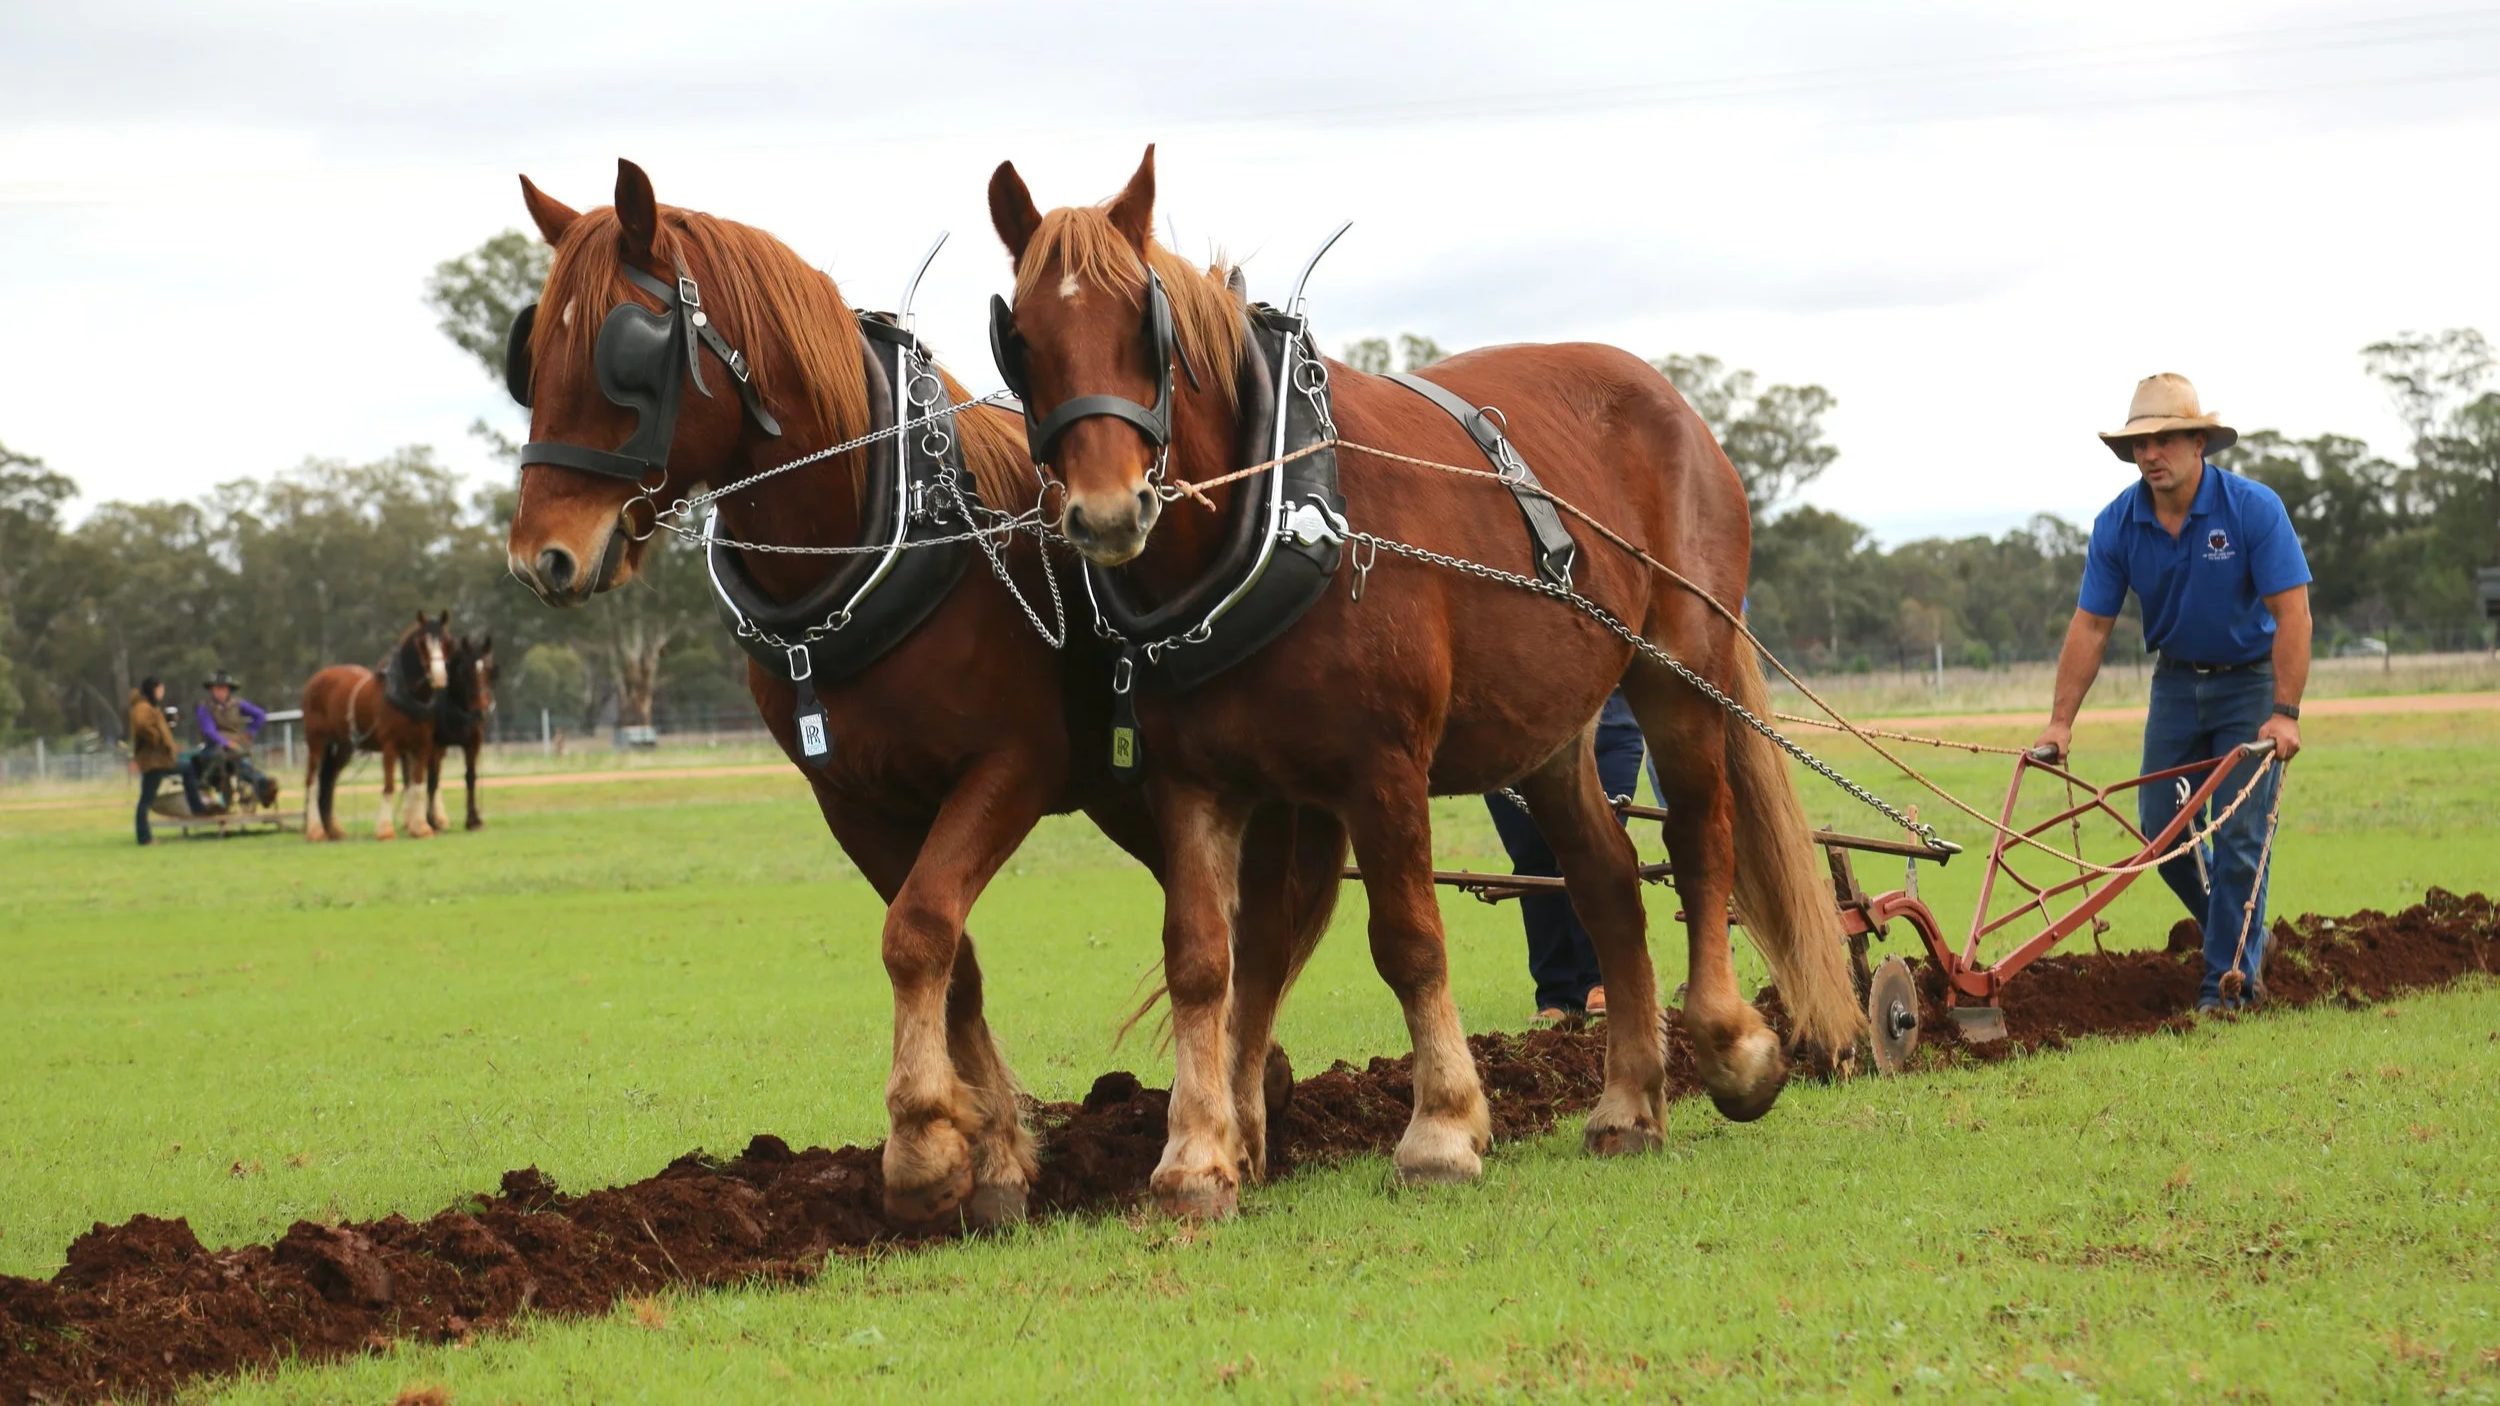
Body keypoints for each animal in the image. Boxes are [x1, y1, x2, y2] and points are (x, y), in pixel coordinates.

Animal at [299, 612, 453, 842]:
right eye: (421, 643)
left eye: (446, 641)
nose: (439, 676)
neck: (405, 696)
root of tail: (315, 680)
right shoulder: (390, 747)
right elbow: (389, 785)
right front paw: (385, 830)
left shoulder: (422, 747)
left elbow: (417, 784)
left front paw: (421, 827)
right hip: (317, 742)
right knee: (312, 781)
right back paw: (316, 831)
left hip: (344, 746)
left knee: (329, 780)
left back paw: (333, 830)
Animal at [423, 633, 496, 832]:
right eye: (466, 671)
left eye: (490, 670)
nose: (481, 711)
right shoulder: (432, 743)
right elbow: (431, 780)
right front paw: (430, 822)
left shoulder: (473, 742)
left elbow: (470, 777)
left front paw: (474, 820)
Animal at [497, 160, 1346, 1225]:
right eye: (533, 356)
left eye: (626, 356)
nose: (542, 557)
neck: (888, 525)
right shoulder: (855, 799)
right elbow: (952, 957)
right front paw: (995, 1158)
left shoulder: (1011, 769)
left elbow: (920, 930)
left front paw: (922, 1148)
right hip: (1134, 798)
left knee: (1264, 928)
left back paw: (1243, 1112)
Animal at [986, 146, 1864, 1218]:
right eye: (1024, 342)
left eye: (1144, 329)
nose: (1109, 513)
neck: (1277, 515)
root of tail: (1672, 403)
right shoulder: (1197, 785)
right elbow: (1200, 959)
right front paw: (1195, 1156)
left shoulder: (1383, 771)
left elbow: (1408, 942)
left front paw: (1442, 1126)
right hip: (1552, 734)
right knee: (1609, 883)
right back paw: (1628, 1105)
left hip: (1679, 669)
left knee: (1701, 844)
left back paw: (1733, 1050)